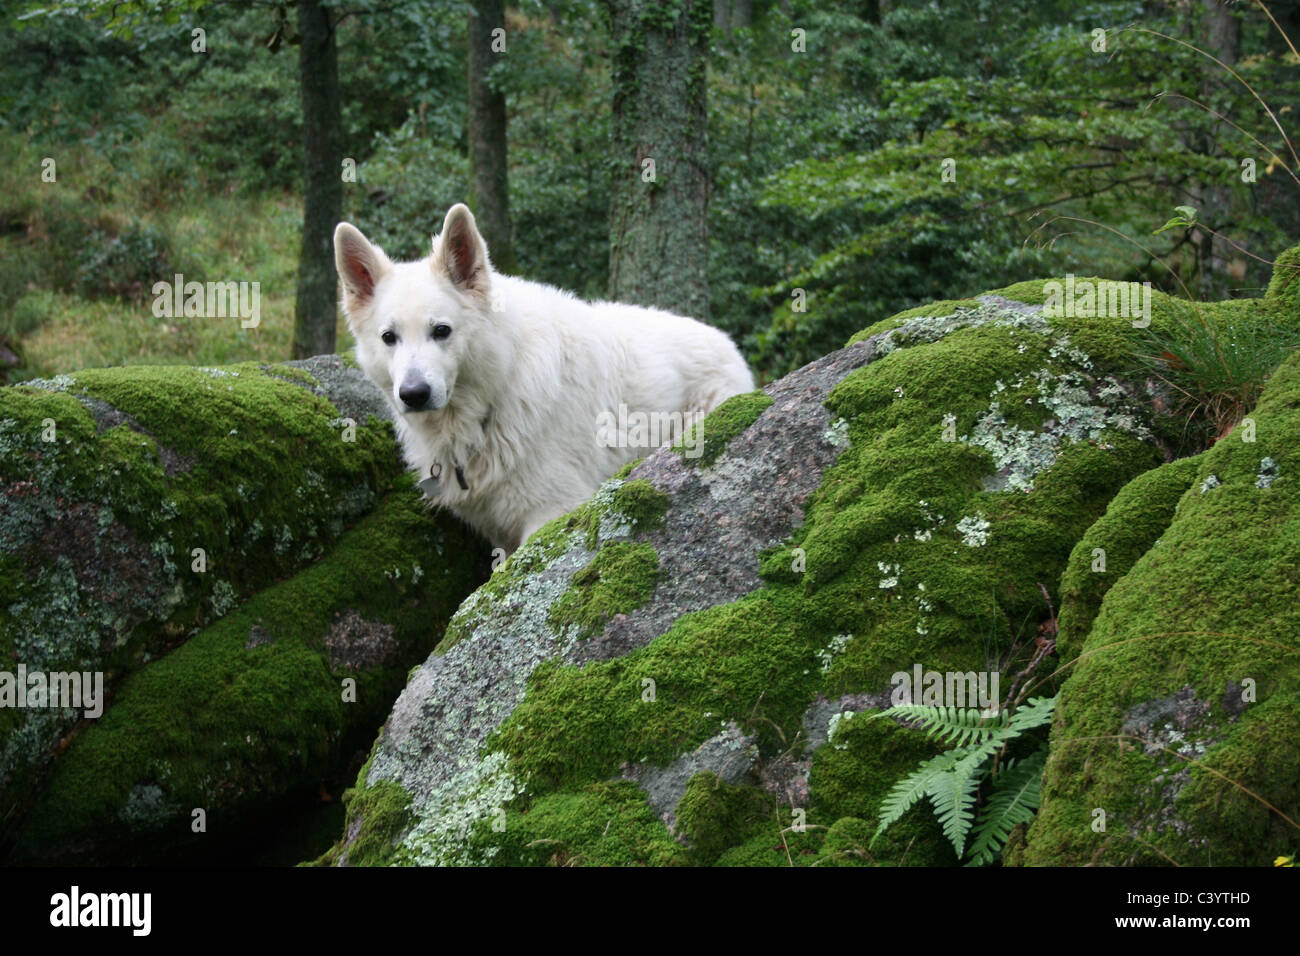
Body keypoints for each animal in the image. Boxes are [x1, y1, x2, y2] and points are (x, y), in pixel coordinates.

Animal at [332, 205, 754, 556]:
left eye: (441, 331)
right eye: (389, 337)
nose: (414, 395)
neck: (492, 398)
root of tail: (727, 343)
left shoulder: (551, 512)